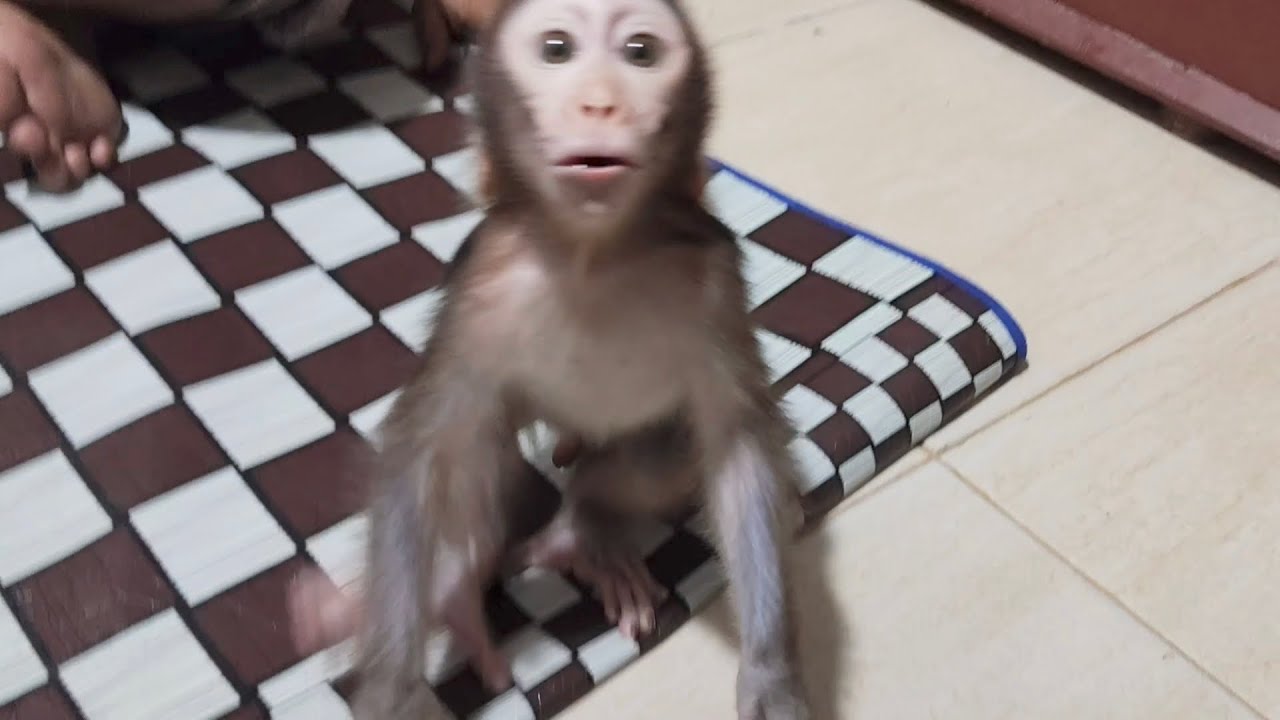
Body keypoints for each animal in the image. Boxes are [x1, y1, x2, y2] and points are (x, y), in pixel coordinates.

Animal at [293, 0, 812, 718]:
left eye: (641, 52)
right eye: (557, 49)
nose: (600, 103)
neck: (591, 254)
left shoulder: (714, 277)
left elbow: (739, 449)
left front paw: (770, 675)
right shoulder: (480, 283)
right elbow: (418, 451)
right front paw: (393, 687)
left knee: (658, 453)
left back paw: (583, 533)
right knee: (481, 442)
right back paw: (456, 595)